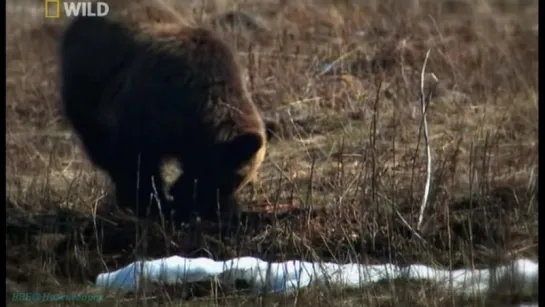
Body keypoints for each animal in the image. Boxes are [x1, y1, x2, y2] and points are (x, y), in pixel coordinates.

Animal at [59, 16, 268, 224]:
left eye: (238, 181)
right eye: (231, 178)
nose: (209, 209)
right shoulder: (145, 113)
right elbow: (135, 163)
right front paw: (153, 205)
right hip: (87, 89)